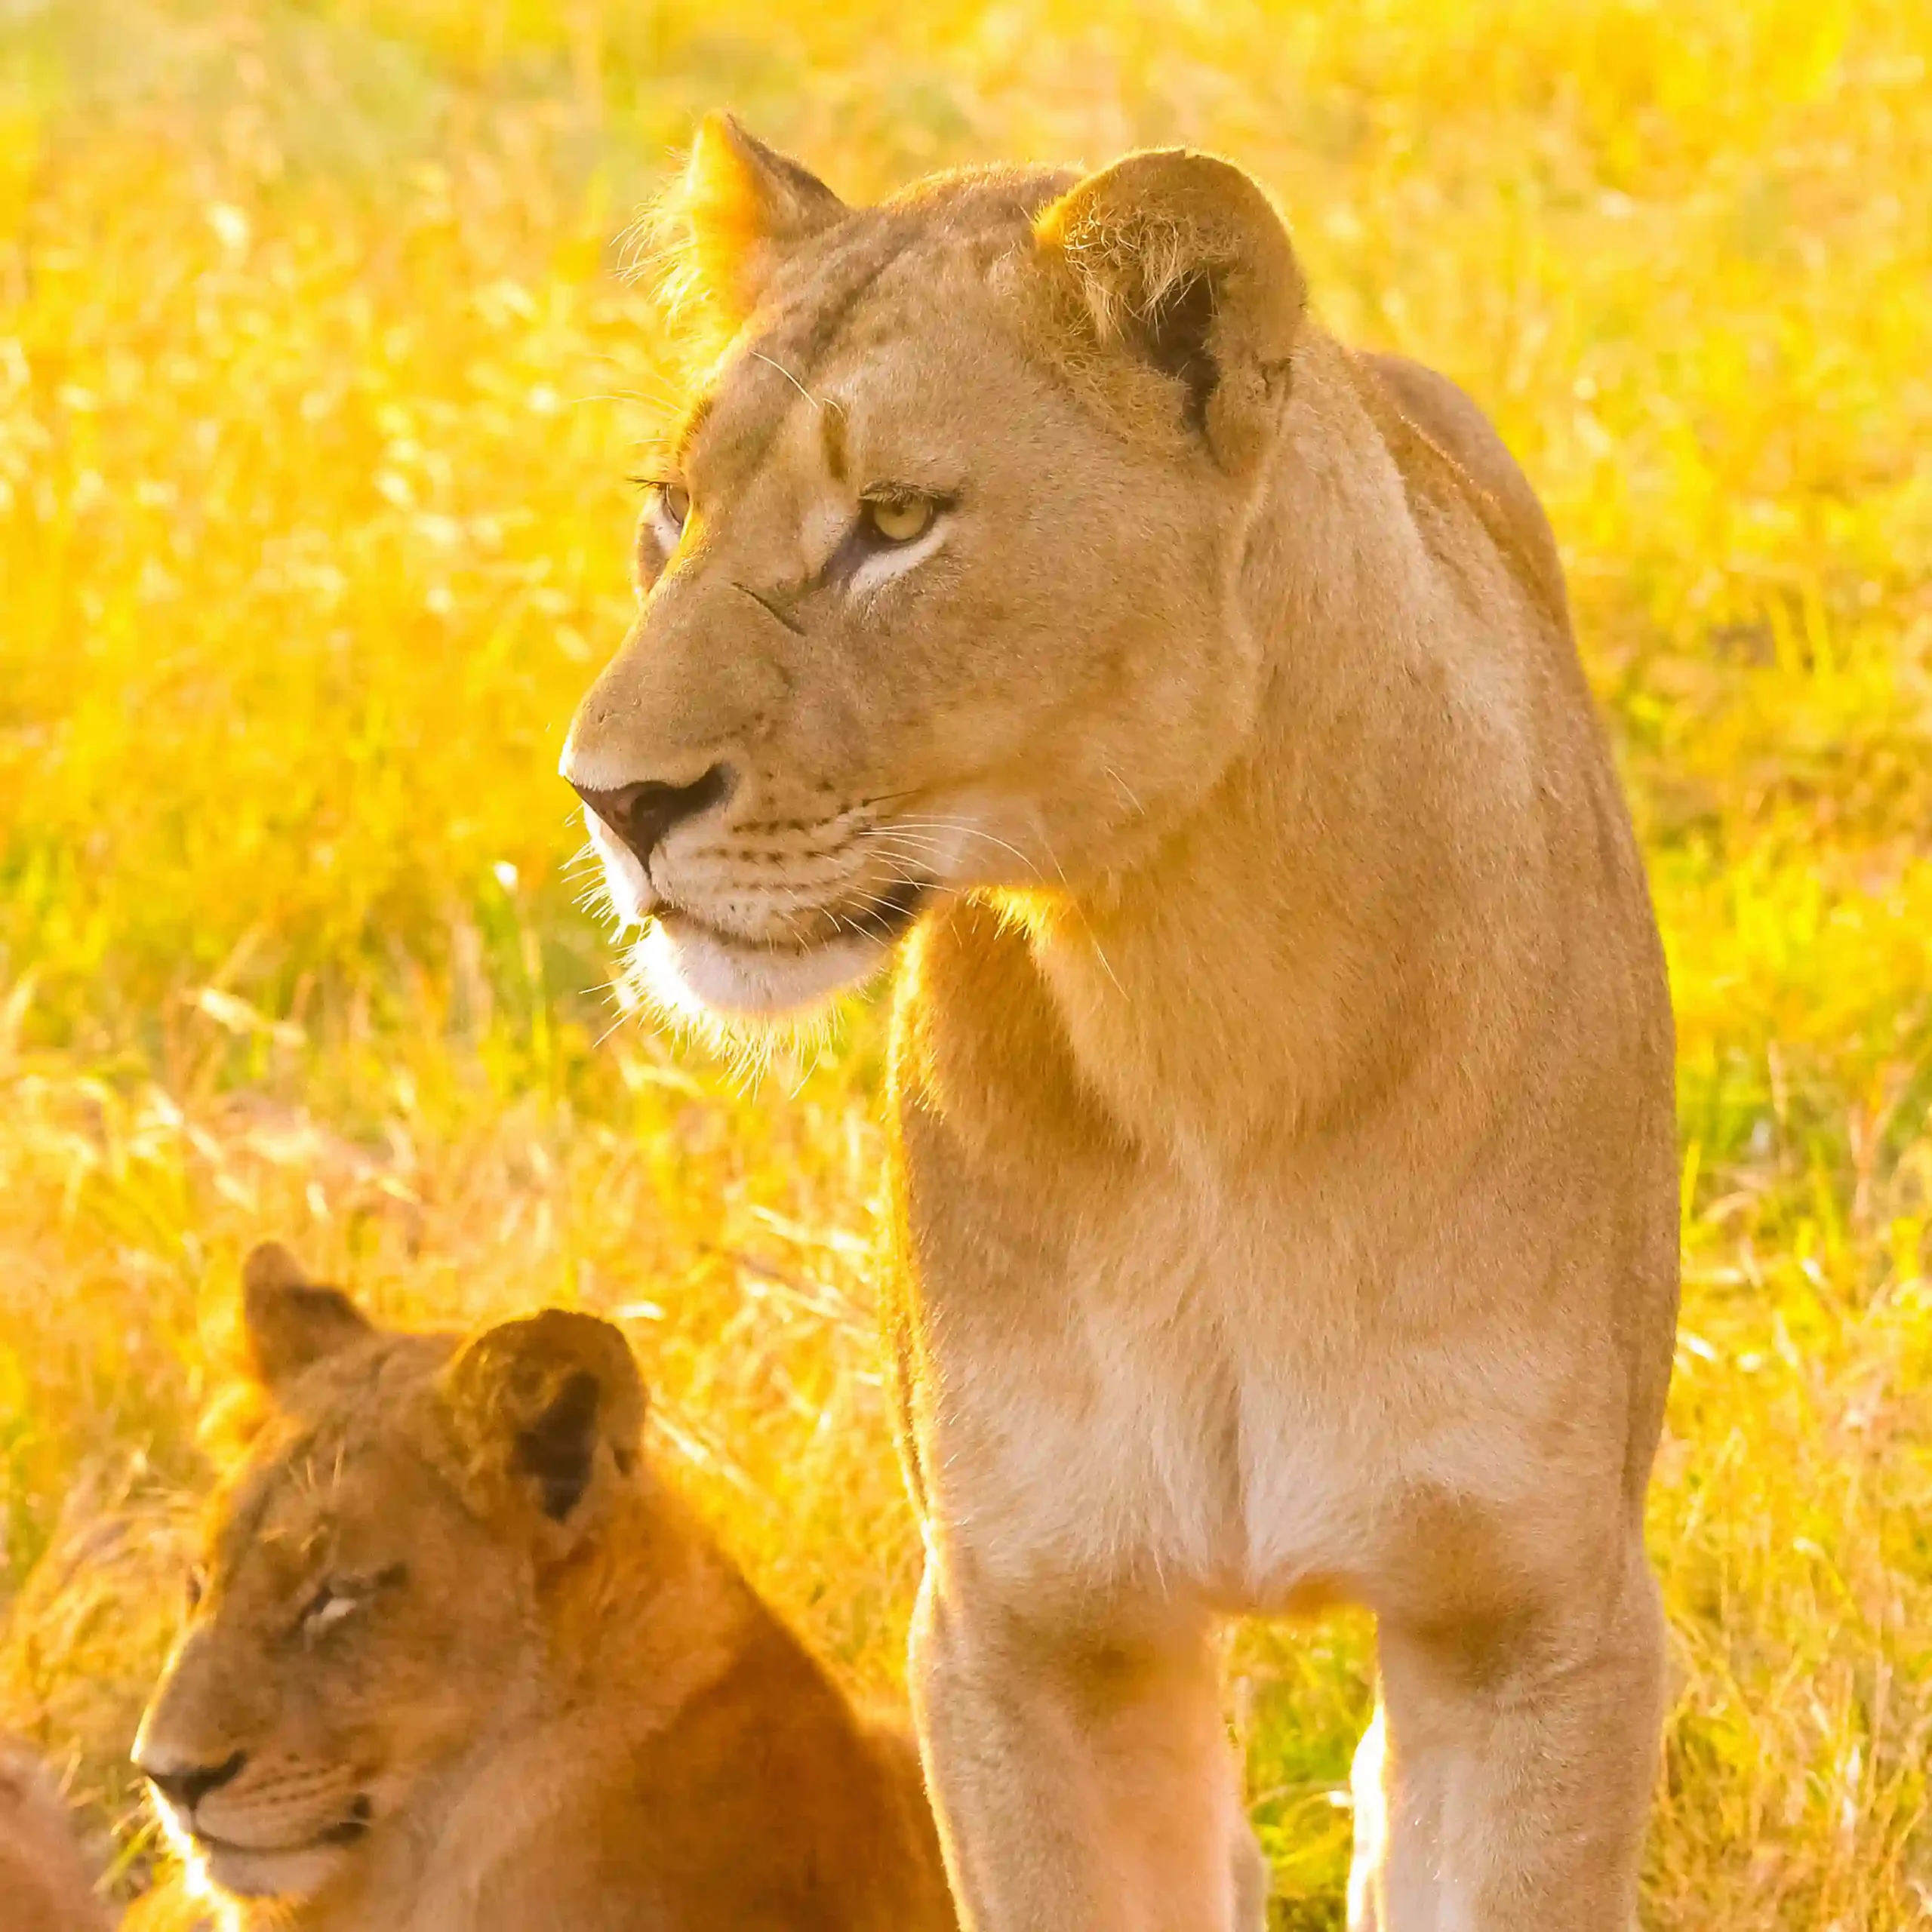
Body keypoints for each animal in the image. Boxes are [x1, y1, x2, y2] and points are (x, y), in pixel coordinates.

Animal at [562, 117, 1678, 1932]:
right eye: (672, 510)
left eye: (893, 520)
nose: (609, 798)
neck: (1193, 1012)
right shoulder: (1029, 1627)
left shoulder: (1537, 1616)